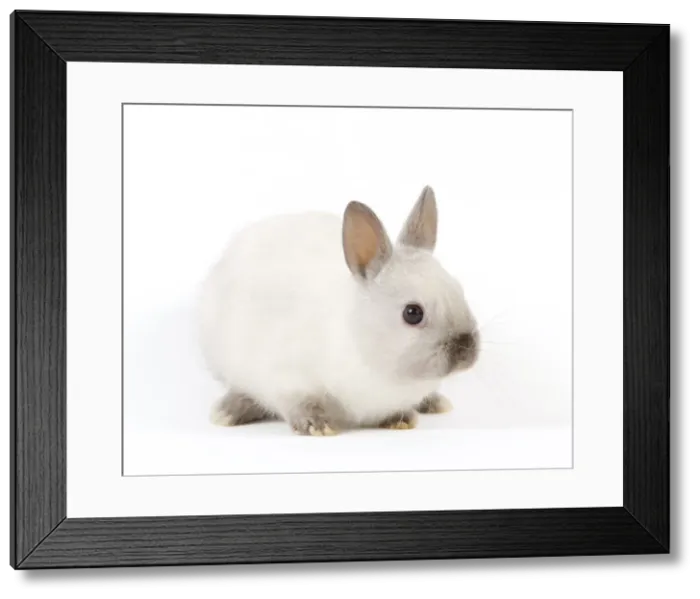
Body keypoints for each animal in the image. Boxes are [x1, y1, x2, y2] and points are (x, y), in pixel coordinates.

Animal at [197, 185, 480, 436]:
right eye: (412, 313)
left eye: (459, 289)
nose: (466, 350)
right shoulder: (285, 377)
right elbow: (297, 403)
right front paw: (317, 426)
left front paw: (400, 420)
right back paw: (226, 412)